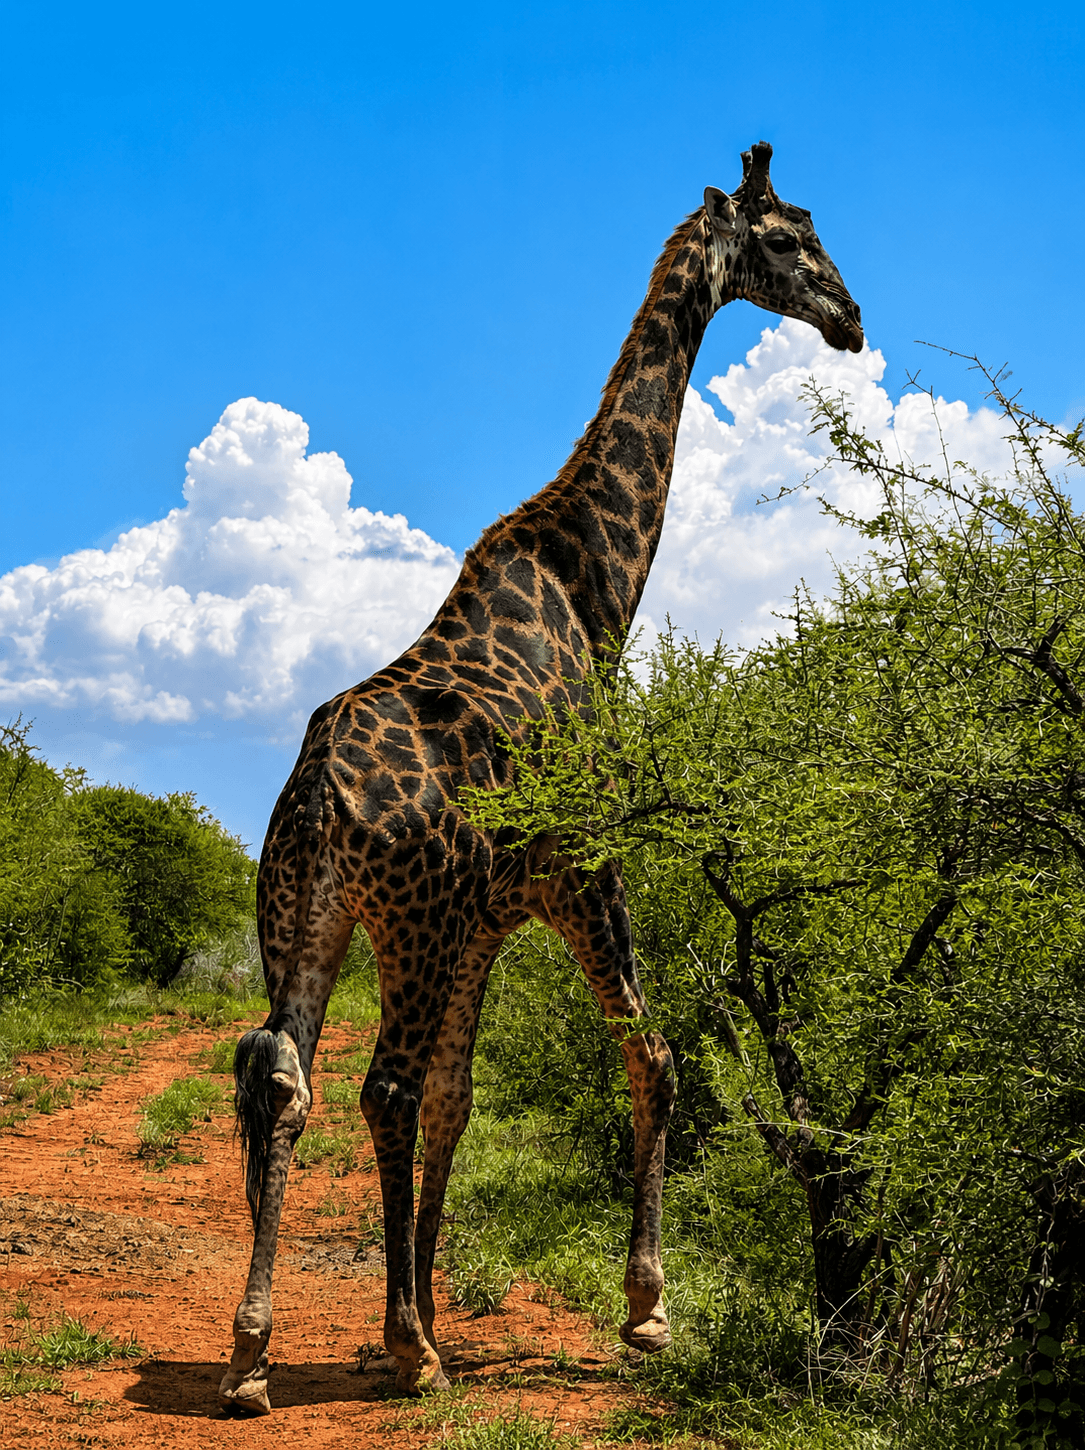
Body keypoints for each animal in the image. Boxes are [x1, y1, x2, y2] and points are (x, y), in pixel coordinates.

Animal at [218, 140, 863, 1414]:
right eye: (786, 241)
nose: (852, 321)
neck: (597, 586)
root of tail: (316, 798)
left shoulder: (487, 917)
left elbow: (461, 1101)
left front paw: (411, 1309)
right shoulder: (582, 874)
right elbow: (653, 1055)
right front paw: (645, 1309)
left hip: (309, 915)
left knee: (284, 1080)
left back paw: (257, 1355)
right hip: (405, 921)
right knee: (377, 1088)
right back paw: (404, 1353)